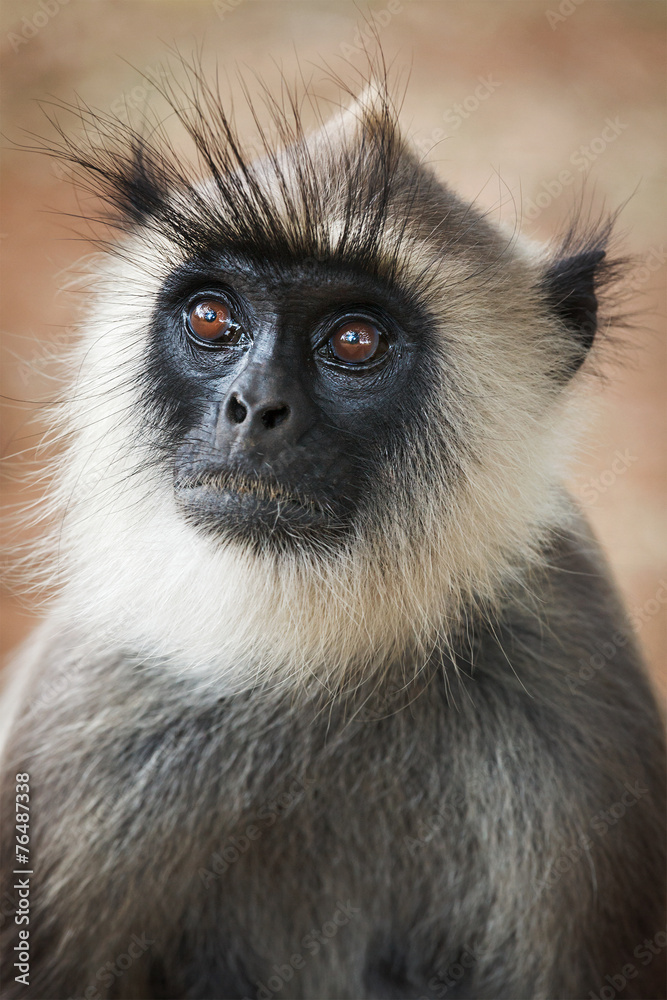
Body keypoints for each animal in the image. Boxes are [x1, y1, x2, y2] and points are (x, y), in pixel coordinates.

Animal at [0, 59, 665, 1000]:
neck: (323, 659)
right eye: (212, 318)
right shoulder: (94, 705)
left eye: (352, 340)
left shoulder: (572, 680)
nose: (253, 408)